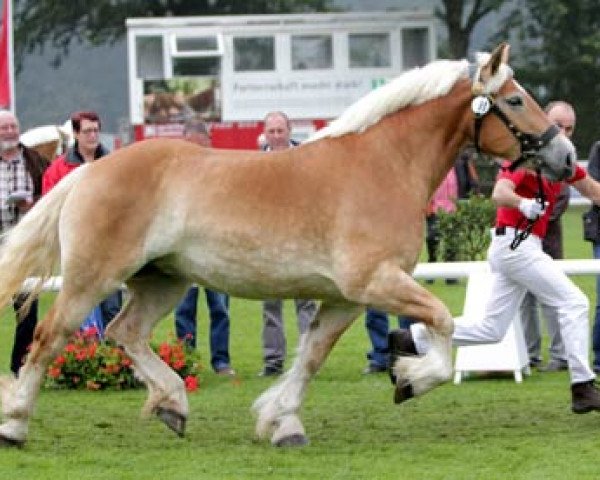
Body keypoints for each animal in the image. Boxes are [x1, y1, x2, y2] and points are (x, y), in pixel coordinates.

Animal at [0, 43, 576, 448]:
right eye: (515, 99)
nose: (567, 157)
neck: (384, 164)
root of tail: (91, 168)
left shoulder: (345, 298)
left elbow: (311, 356)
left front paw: (281, 421)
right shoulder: (376, 282)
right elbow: (440, 323)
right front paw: (409, 379)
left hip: (164, 280)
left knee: (125, 332)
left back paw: (172, 405)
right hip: (92, 278)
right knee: (49, 337)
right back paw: (16, 425)